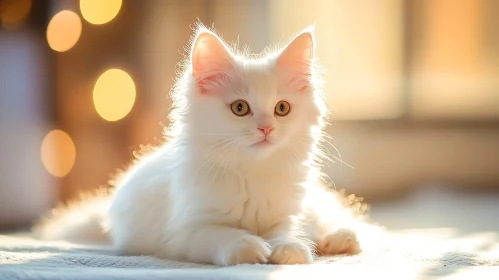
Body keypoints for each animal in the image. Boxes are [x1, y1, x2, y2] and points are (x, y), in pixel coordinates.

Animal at [35, 23, 380, 264]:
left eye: (282, 108)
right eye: (240, 108)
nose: (266, 128)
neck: (250, 175)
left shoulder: (288, 215)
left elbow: (288, 233)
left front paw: (288, 250)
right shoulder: (189, 229)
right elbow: (222, 236)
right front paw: (249, 247)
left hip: (311, 203)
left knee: (327, 221)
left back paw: (339, 239)